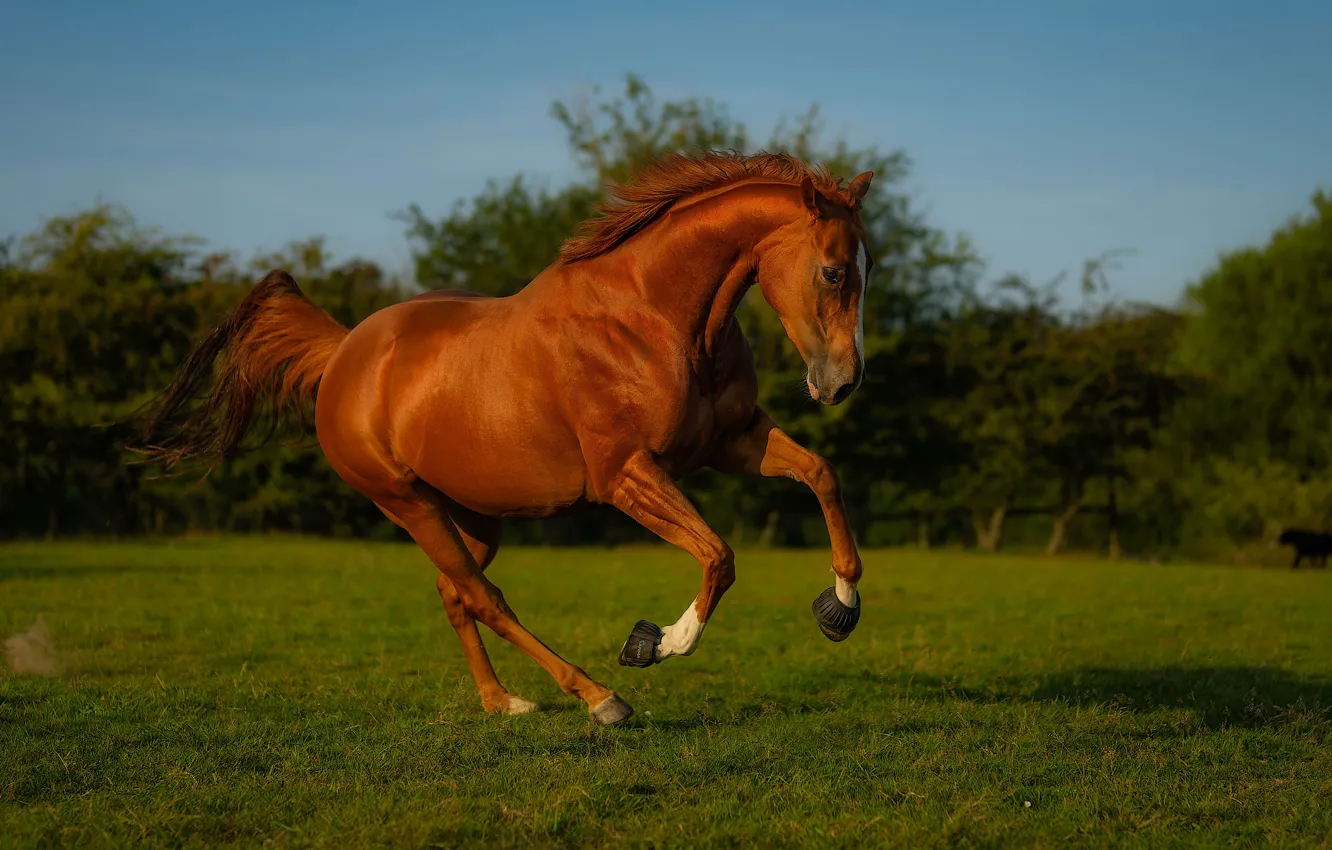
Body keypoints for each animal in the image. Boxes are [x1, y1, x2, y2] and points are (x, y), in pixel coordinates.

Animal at [132, 150, 875, 726]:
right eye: (835, 271)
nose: (842, 384)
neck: (655, 317)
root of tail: (344, 354)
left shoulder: (731, 442)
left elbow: (821, 473)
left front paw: (839, 609)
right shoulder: (627, 475)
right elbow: (720, 556)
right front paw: (654, 643)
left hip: (475, 515)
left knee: (454, 593)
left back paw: (501, 702)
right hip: (408, 504)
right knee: (486, 598)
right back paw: (600, 699)